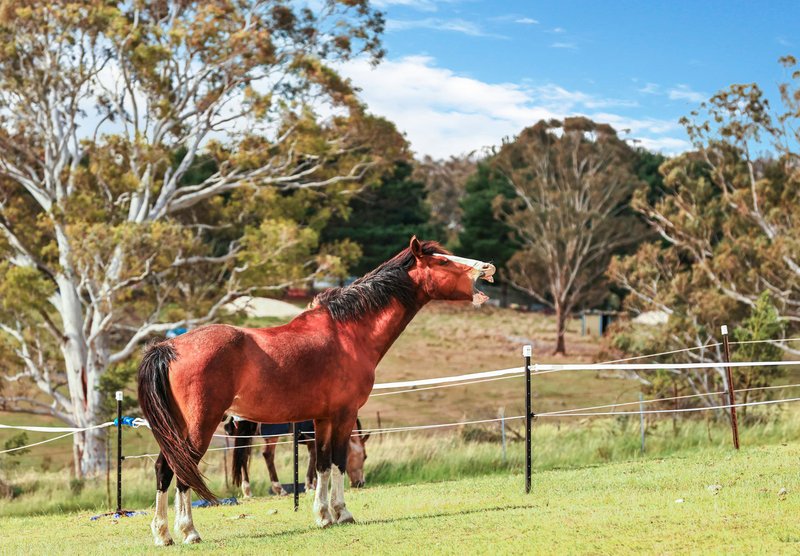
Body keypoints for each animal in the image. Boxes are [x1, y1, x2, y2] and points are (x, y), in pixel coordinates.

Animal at [223, 416, 370, 496]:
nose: (360, 483)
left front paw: (313, 483)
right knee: (267, 455)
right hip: (271, 434)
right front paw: (310, 485)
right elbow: (314, 456)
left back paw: (247, 490)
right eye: (364, 457)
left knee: (243, 456)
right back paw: (279, 488)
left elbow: (314, 456)